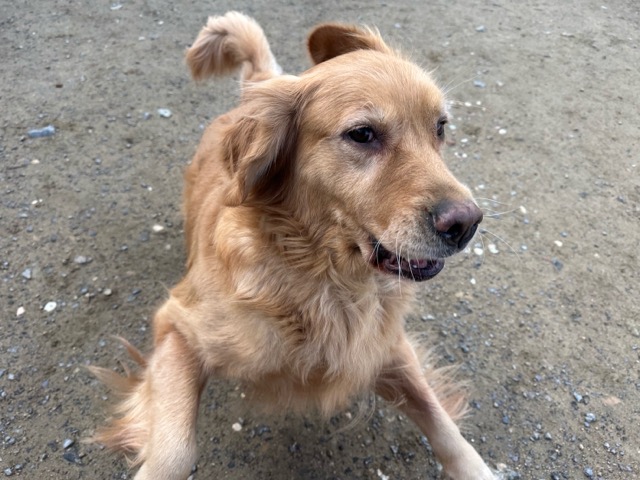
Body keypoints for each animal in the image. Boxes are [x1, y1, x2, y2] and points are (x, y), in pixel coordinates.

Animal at [92, 11, 495, 480]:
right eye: (362, 134)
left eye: (441, 127)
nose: (466, 223)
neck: (324, 279)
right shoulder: (178, 326)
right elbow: (174, 450)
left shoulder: (385, 346)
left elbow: (444, 425)